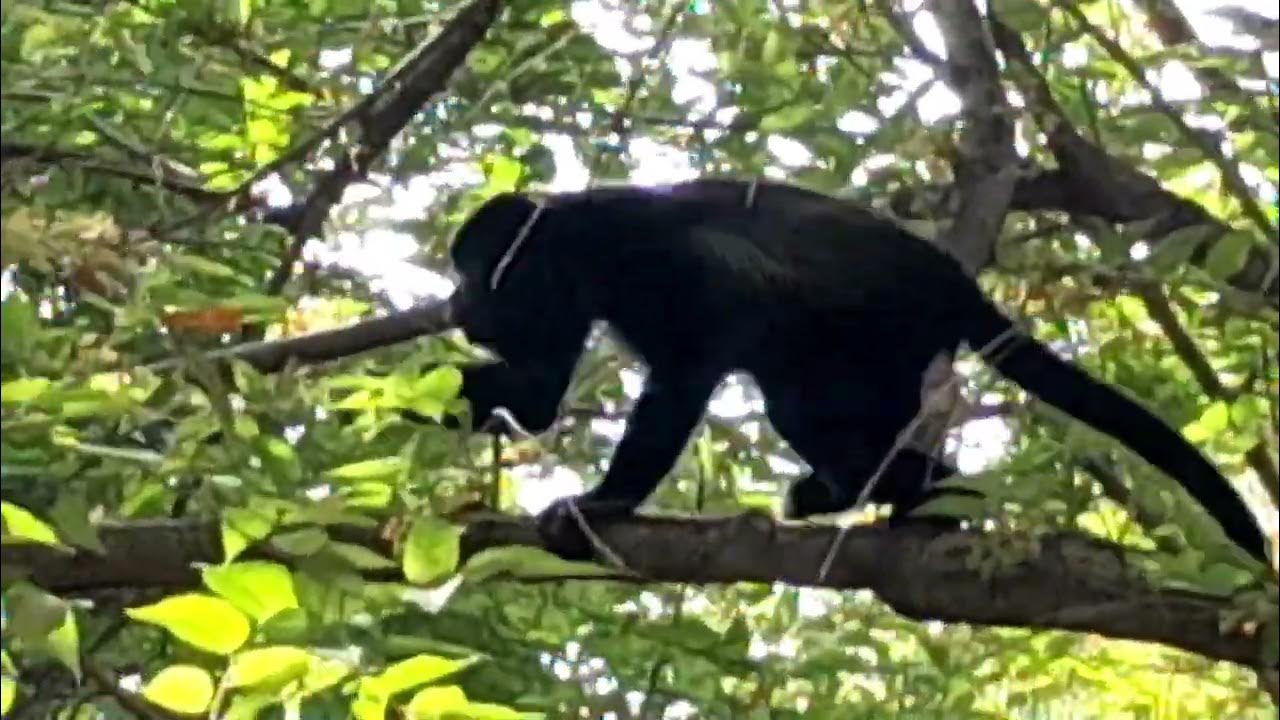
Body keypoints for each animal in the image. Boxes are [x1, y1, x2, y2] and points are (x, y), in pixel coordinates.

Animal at [442, 178, 1270, 565]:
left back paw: (936, 493)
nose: (454, 303)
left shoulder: (645, 260)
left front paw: (605, 503)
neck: (574, 252)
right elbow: (540, 397)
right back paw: (861, 491)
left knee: (807, 407)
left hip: (887, 333)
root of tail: (954, 283)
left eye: (477, 272)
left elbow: (688, 368)